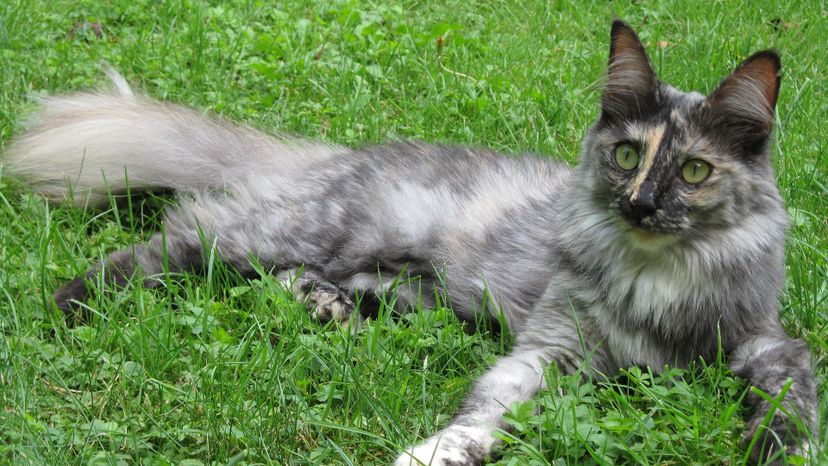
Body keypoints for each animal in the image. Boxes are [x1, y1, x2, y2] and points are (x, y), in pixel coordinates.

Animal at [3, 20, 820, 464]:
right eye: (626, 154)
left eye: (693, 170)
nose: (641, 204)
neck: (656, 275)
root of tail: (336, 154)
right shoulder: (552, 348)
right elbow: (489, 409)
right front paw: (438, 452)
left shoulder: (769, 345)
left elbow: (793, 409)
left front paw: (782, 450)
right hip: (307, 230)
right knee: (180, 239)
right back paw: (71, 302)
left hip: (408, 289)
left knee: (304, 280)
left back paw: (324, 306)